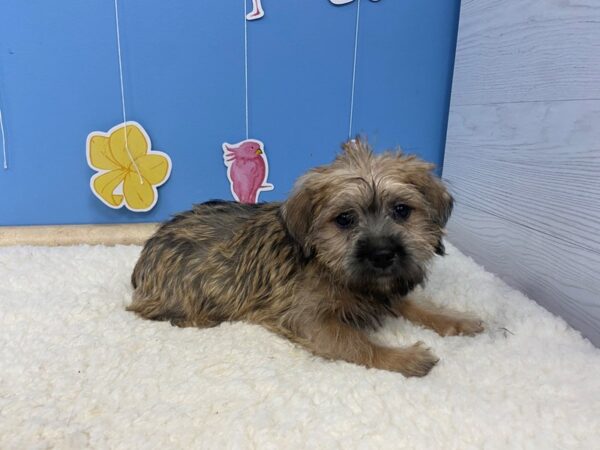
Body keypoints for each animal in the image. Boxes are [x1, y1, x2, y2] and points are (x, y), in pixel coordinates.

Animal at [127, 137, 482, 376]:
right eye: (344, 219)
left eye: (402, 210)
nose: (382, 254)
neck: (327, 265)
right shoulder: (307, 319)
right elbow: (355, 342)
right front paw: (403, 358)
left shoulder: (386, 286)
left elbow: (418, 305)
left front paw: (458, 319)